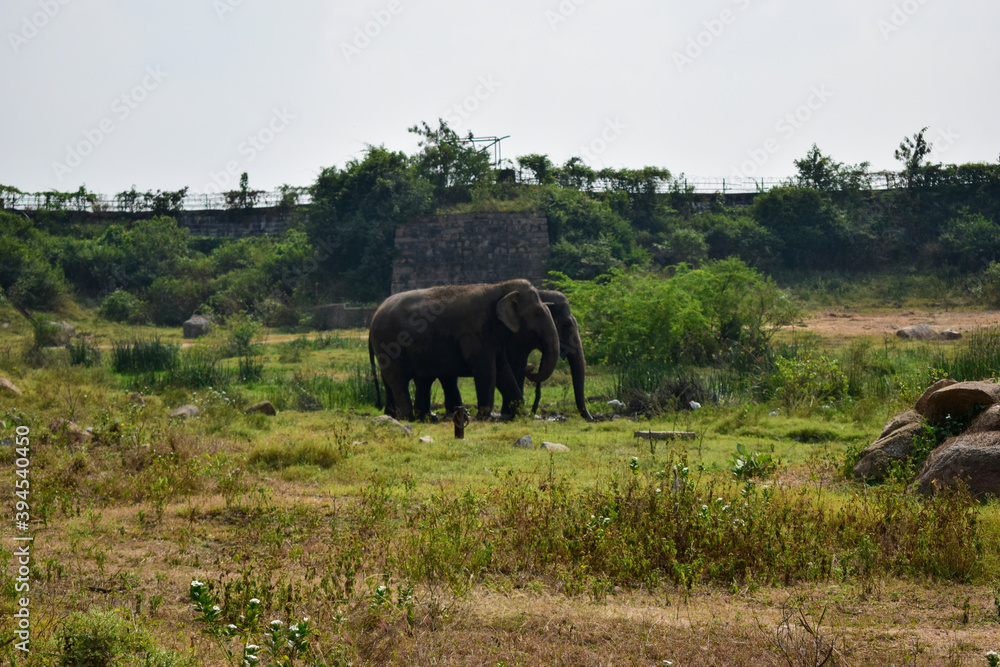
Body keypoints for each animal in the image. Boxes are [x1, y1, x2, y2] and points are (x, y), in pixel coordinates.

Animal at [368, 280, 560, 421]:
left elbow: (503, 370)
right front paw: (484, 417)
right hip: (388, 342)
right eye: (537, 314)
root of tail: (374, 317)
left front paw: (522, 415)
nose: (531, 367)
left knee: (406, 380)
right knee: (398, 379)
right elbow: (485, 368)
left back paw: (401, 416)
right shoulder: (474, 330)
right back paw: (408, 418)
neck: (499, 287)